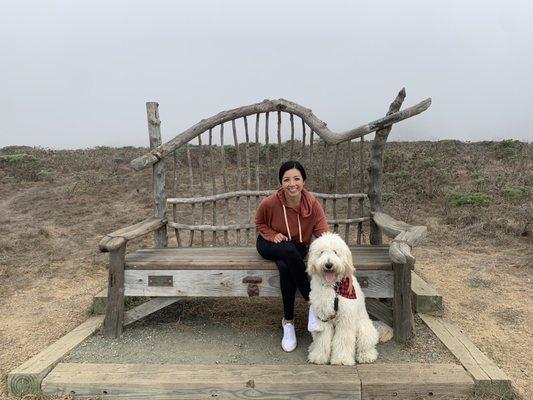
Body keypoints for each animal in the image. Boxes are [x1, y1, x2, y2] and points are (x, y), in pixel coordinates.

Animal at [306, 231, 388, 366]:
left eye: (335, 252)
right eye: (322, 252)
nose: (328, 265)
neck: (334, 288)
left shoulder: (345, 320)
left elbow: (343, 340)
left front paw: (341, 359)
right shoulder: (323, 319)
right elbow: (322, 340)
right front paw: (319, 356)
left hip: (363, 327)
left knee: (366, 345)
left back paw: (366, 355)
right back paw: (313, 347)